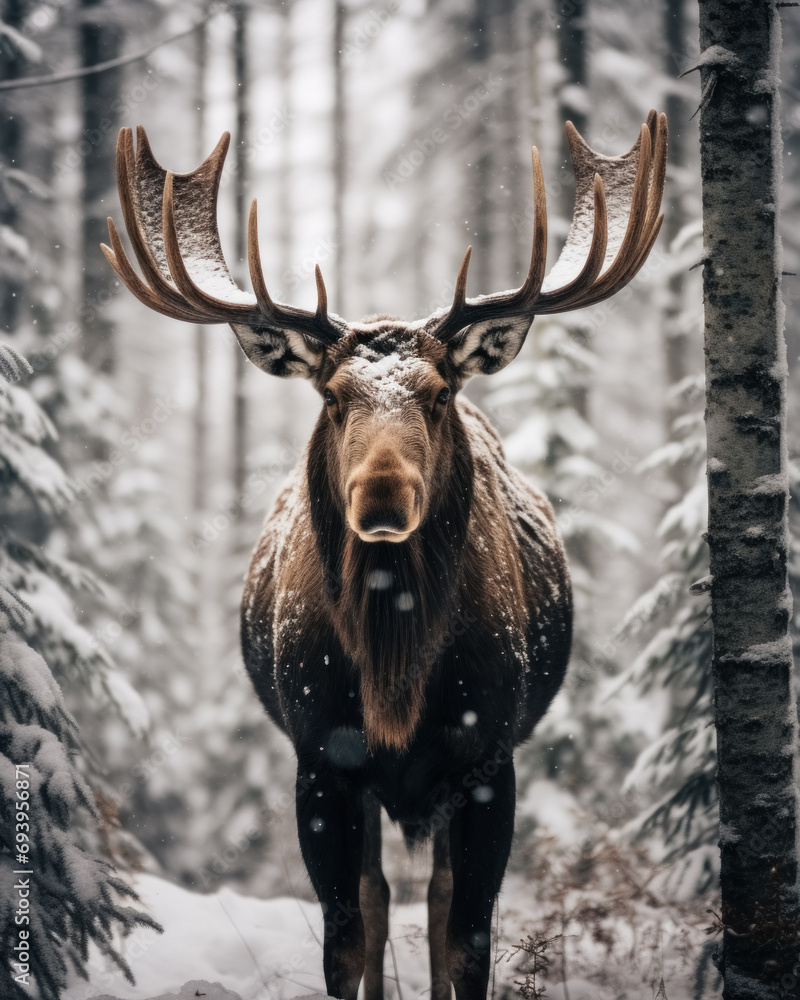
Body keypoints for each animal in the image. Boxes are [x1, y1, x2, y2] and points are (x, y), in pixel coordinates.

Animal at [102, 110, 666, 1000]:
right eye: (334, 396)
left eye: (437, 394)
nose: (382, 500)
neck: (394, 663)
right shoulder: (319, 757)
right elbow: (346, 936)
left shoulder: (487, 757)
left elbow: (467, 939)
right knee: (376, 894)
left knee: (431, 897)